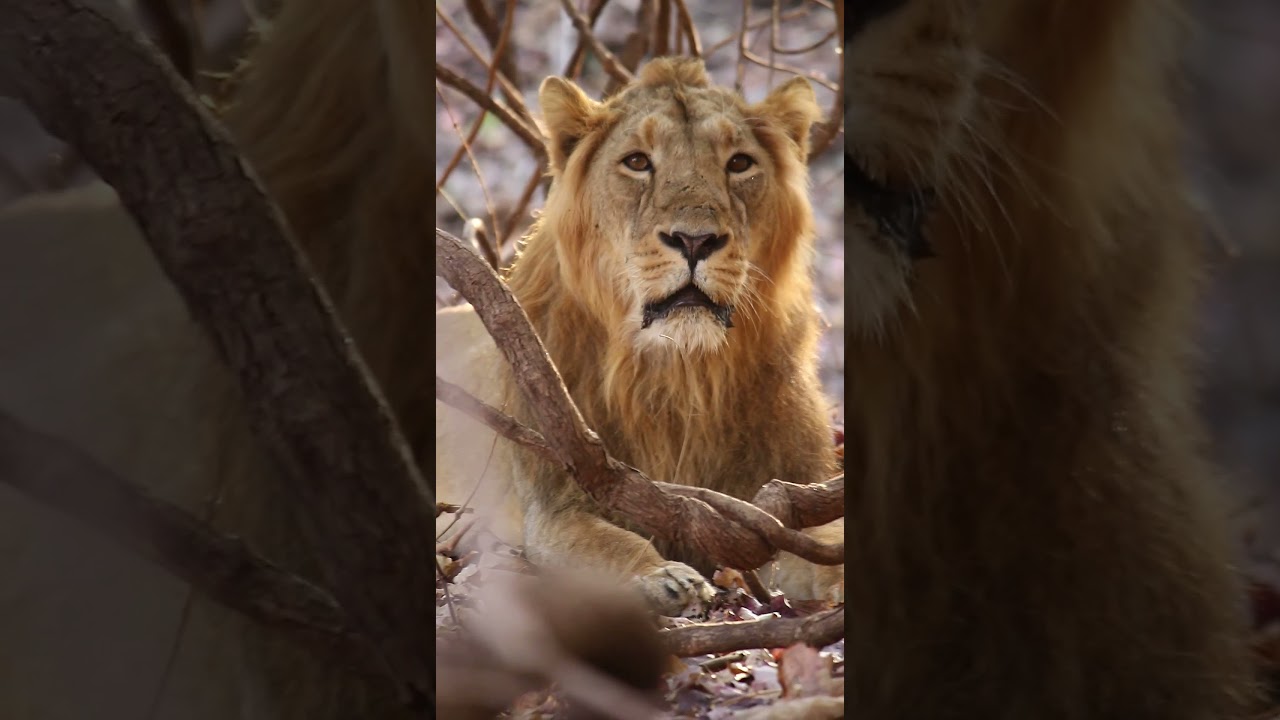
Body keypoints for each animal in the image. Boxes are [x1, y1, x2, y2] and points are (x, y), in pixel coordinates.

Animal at [434, 57, 844, 615]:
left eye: (739, 163)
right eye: (637, 162)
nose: (694, 240)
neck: (680, 372)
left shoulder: (789, 493)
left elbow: (826, 546)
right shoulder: (557, 503)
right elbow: (609, 541)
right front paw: (663, 577)